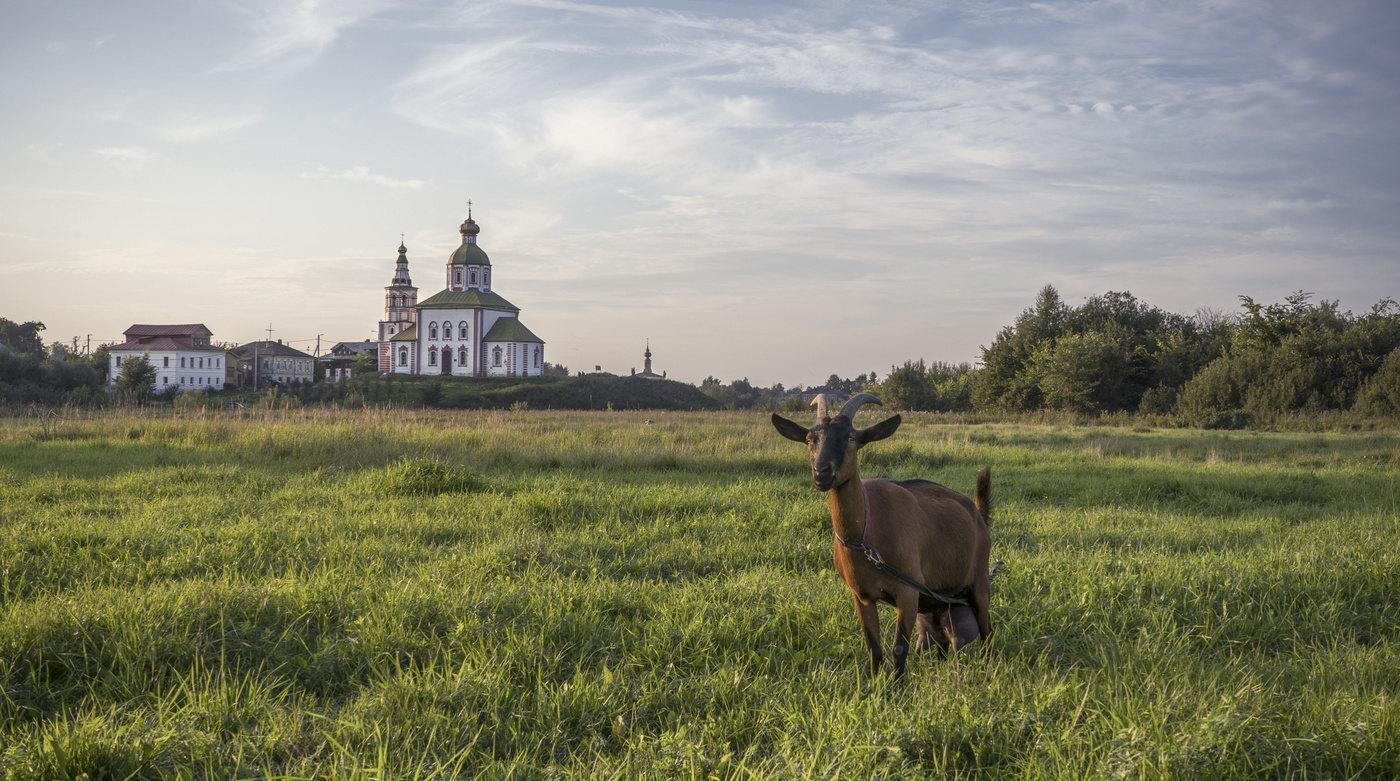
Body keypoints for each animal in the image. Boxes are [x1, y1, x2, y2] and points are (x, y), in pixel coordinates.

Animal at [772, 394, 991, 677]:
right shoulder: (861, 595)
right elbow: (873, 647)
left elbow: (899, 647)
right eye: (810, 440)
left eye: (851, 438)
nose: (822, 472)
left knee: (987, 633)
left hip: (979, 584)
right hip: (938, 605)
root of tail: (978, 514)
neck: (865, 535)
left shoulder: (907, 591)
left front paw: (897, 686)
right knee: (941, 641)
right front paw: (875, 685)